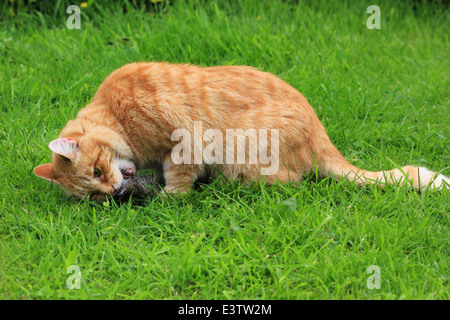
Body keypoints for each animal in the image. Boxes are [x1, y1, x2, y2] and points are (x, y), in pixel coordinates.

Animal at [32, 62, 450, 200]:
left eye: (98, 172)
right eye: (92, 195)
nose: (112, 191)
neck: (116, 114)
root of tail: (320, 134)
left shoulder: (184, 141)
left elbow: (179, 179)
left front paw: (168, 197)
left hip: (242, 151)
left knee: (292, 181)